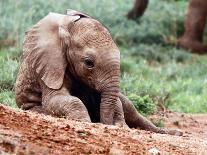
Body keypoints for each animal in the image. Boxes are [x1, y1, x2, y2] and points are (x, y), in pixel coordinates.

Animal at [15, 10, 182, 136]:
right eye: (89, 63)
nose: (103, 123)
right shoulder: (49, 66)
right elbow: (57, 99)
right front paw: (85, 122)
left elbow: (116, 102)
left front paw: (121, 126)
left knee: (130, 107)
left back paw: (173, 133)